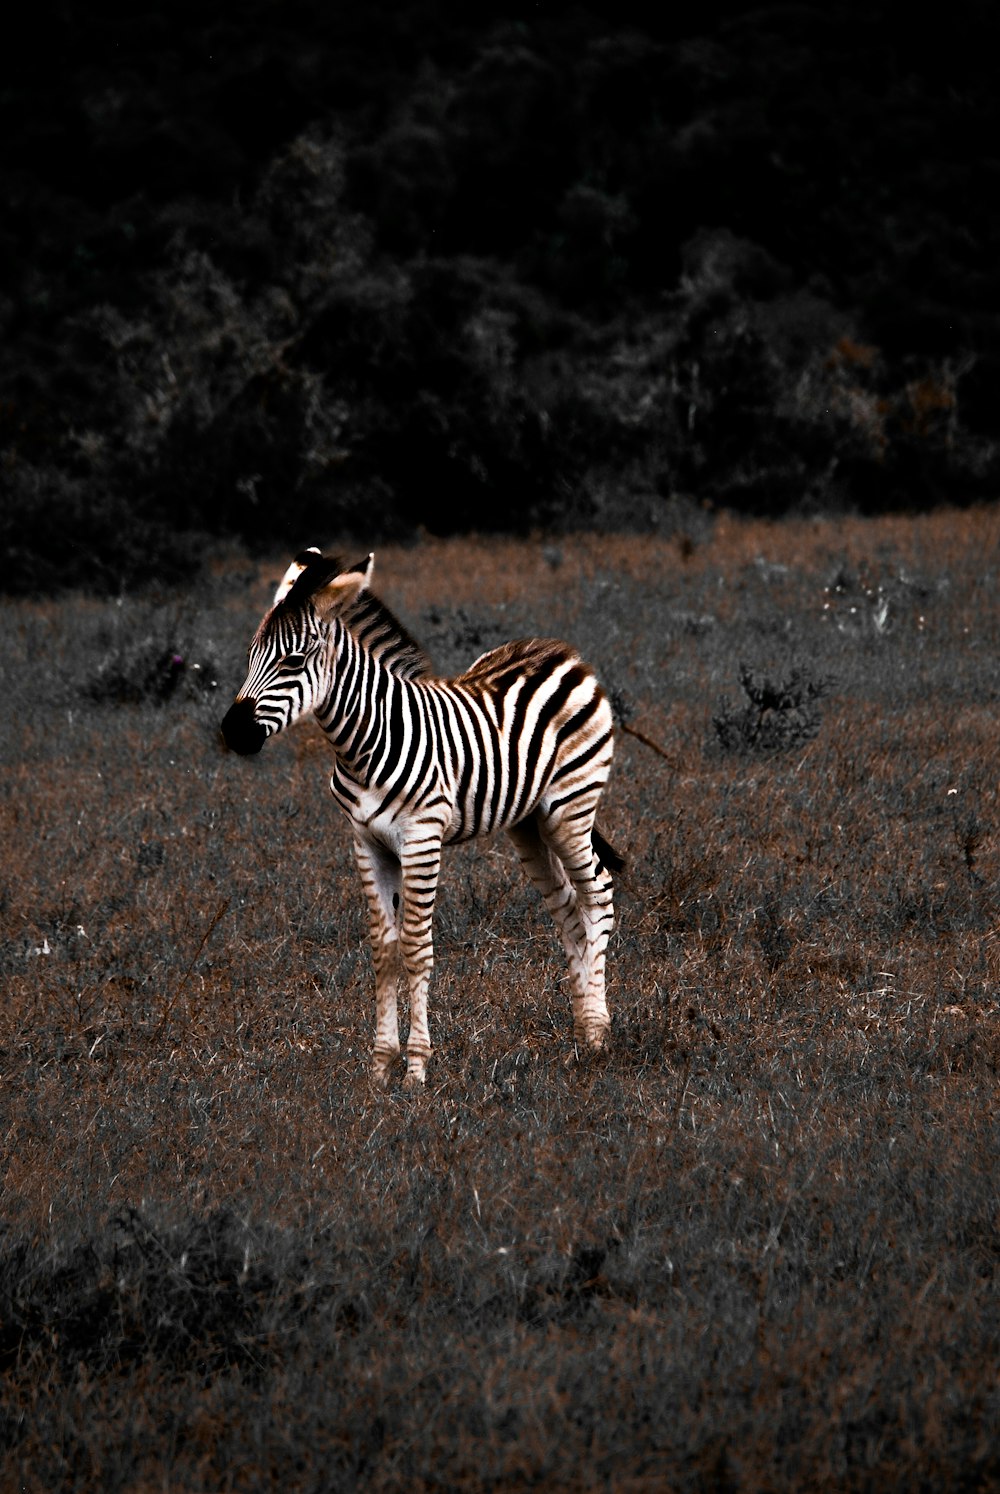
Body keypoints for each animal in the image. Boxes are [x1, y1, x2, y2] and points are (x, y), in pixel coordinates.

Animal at [222, 549, 618, 1087]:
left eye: (294, 661)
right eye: (250, 656)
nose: (233, 732)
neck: (364, 744)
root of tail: (560, 650)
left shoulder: (421, 838)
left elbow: (415, 947)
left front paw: (415, 1071)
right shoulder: (365, 842)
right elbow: (383, 949)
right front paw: (379, 1068)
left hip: (571, 806)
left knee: (597, 895)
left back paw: (597, 1034)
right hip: (528, 823)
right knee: (567, 909)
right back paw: (579, 1033)